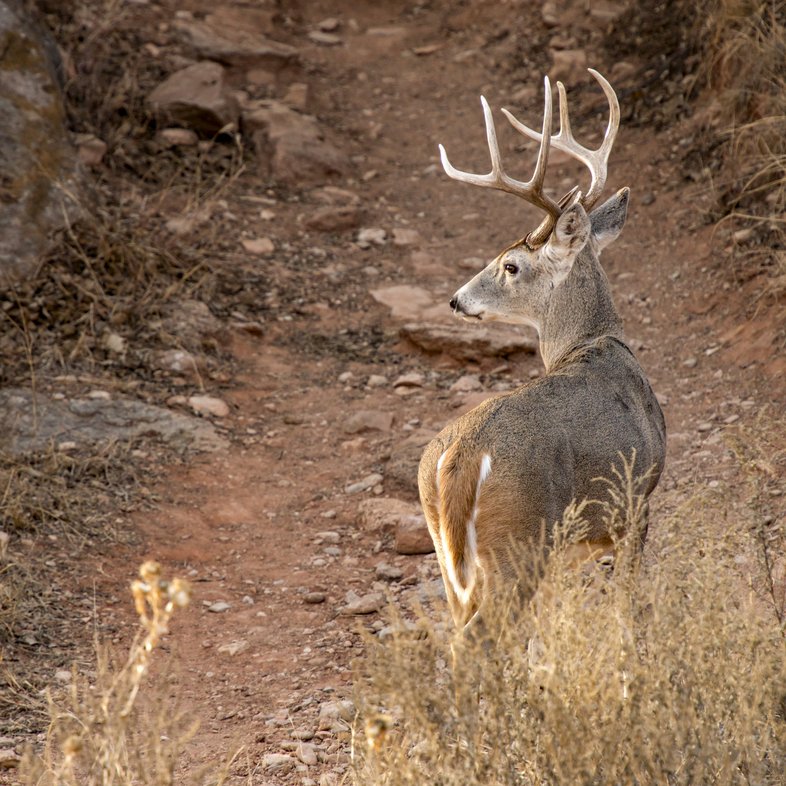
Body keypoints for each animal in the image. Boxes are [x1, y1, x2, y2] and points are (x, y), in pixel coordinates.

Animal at [418, 69, 666, 639]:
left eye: (510, 265)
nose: (456, 299)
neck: (593, 343)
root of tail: (458, 458)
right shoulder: (635, 504)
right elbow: (628, 608)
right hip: (519, 541)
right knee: (478, 640)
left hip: (450, 555)